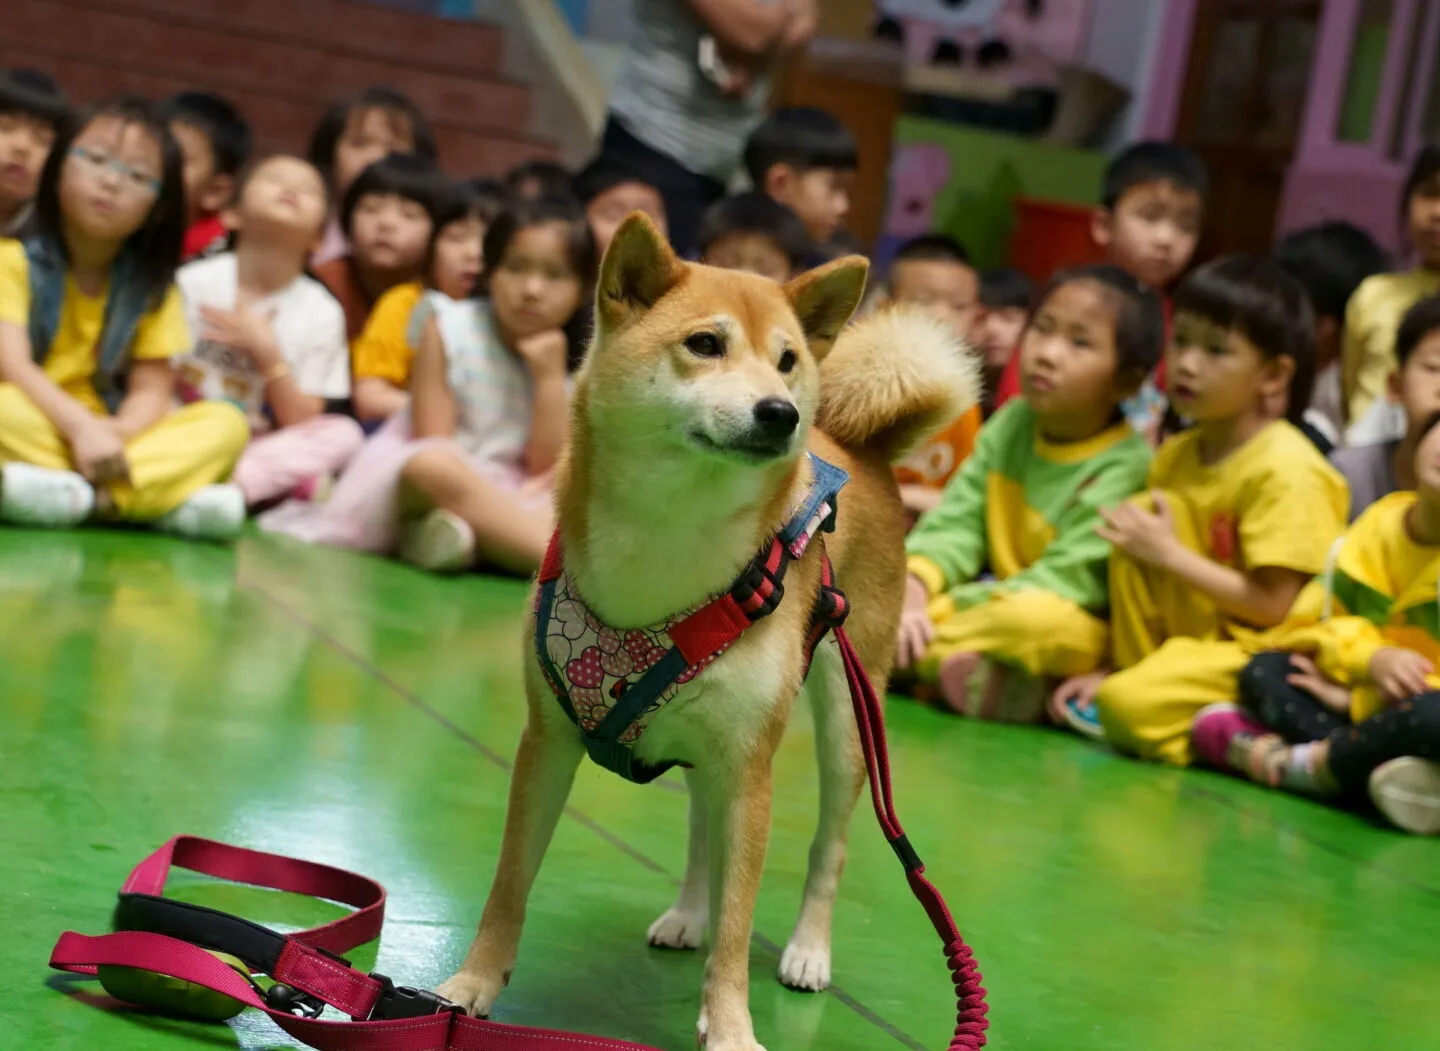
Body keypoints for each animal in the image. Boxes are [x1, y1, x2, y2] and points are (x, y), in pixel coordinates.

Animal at [437, 214, 979, 1048]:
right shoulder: (548, 742)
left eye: (787, 361)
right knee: (699, 826)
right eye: (705, 344)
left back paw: (807, 949)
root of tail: (865, 448)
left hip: (841, 720)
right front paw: (472, 982)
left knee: (828, 845)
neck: (664, 539)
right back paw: (688, 911)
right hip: (703, 733)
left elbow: (739, 920)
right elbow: (509, 883)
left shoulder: (750, 769)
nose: (781, 411)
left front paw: (729, 1027)